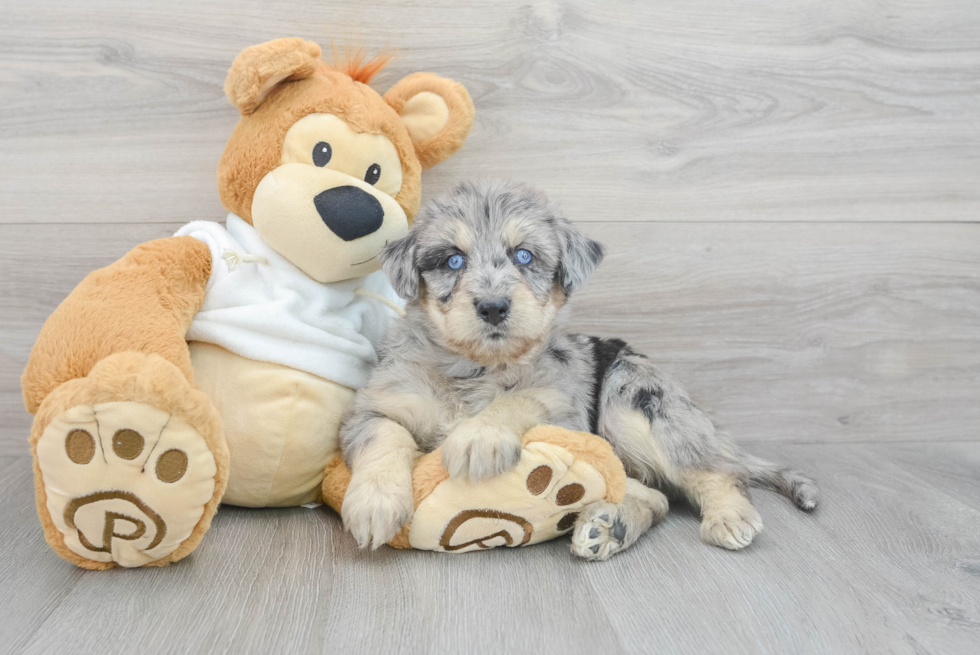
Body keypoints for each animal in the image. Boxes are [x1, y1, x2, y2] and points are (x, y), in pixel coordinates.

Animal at [340, 182, 816, 560]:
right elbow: (384, 434)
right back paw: (609, 527)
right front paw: (375, 503)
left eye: (524, 256)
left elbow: (523, 397)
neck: (475, 368)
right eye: (453, 261)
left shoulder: (566, 410)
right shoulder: (374, 406)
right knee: (656, 497)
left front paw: (479, 437)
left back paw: (728, 516)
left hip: (635, 399)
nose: (493, 307)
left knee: (715, 471)